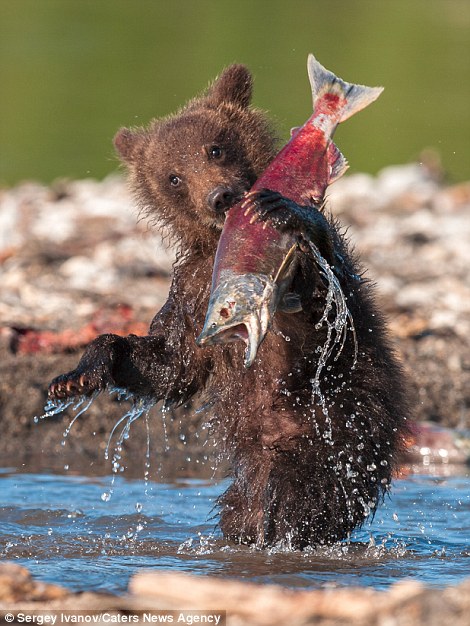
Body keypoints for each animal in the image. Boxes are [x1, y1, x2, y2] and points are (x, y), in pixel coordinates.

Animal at [47, 64, 408, 544]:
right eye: (174, 177)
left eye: (215, 149)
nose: (218, 197)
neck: (222, 244)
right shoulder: (193, 289)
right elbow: (172, 364)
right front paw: (76, 376)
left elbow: (324, 306)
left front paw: (287, 210)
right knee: (244, 508)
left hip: (338, 428)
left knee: (303, 493)